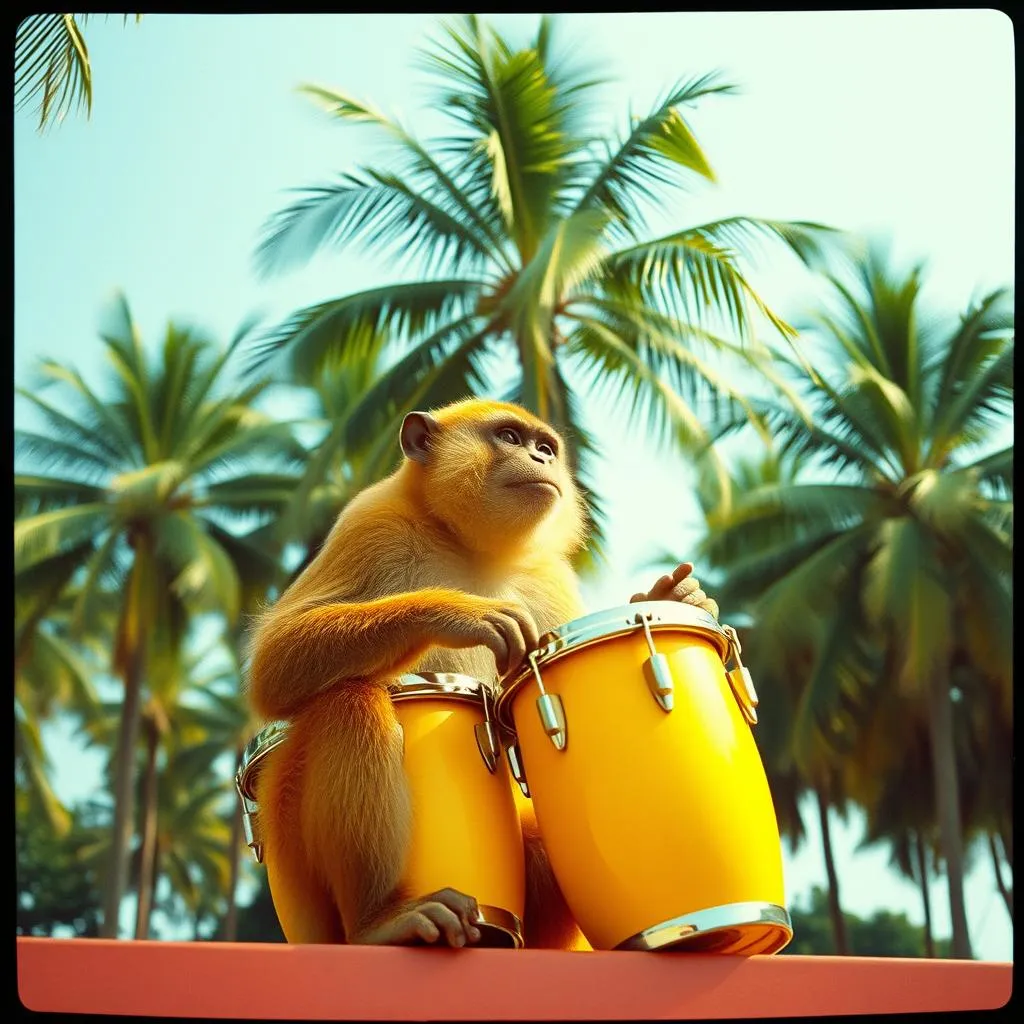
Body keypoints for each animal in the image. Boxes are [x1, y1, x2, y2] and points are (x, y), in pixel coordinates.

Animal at [245, 398, 719, 949]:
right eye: (510, 438)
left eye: (544, 447)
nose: (539, 459)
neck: (468, 547)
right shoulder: (370, 523)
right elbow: (274, 667)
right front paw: (457, 612)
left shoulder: (548, 576)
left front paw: (675, 596)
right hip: (297, 871)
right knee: (349, 700)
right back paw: (381, 922)